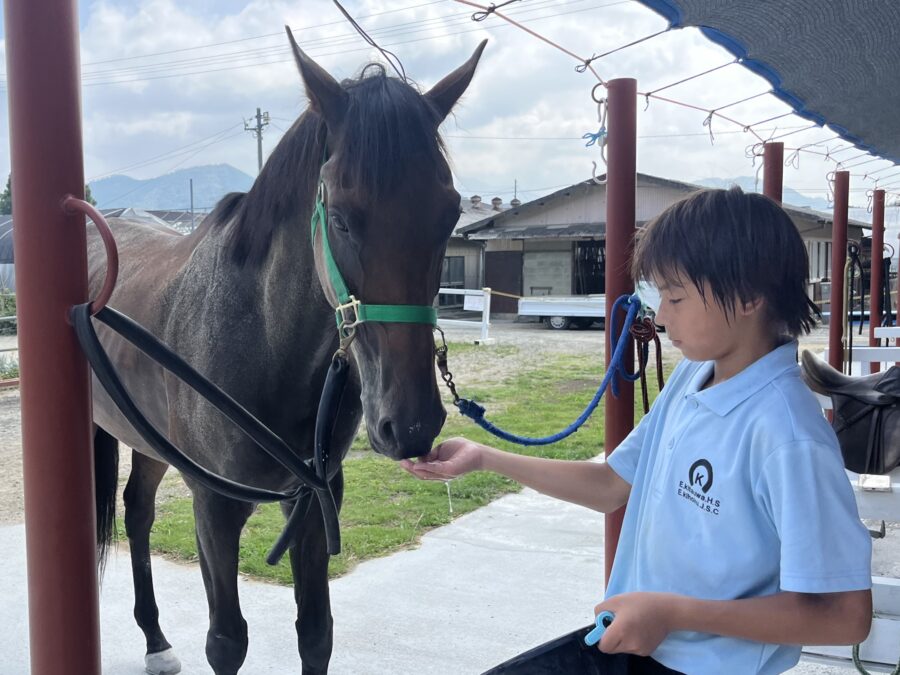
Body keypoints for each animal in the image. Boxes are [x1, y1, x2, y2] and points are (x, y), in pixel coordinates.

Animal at [88, 29, 486, 675]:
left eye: (449, 213)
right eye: (342, 218)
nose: (410, 424)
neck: (263, 343)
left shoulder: (315, 502)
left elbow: (316, 632)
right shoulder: (214, 507)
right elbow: (227, 641)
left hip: (148, 440)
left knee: (139, 510)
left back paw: (154, 638)